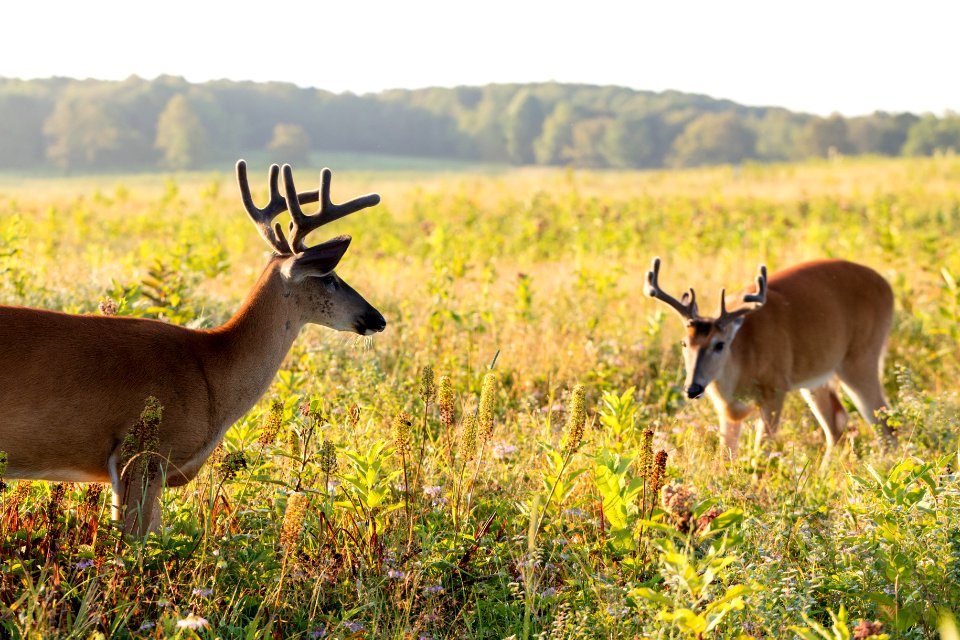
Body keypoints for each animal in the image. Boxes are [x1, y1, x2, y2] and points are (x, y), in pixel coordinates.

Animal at [648, 258, 896, 458]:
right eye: (684, 343)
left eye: (719, 344)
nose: (693, 388)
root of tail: (887, 287)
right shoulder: (726, 410)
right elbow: (726, 455)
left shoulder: (776, 388)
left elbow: (762, 450)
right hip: (817, 377)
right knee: (837, 427)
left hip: (861, 357)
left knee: (885, 424)